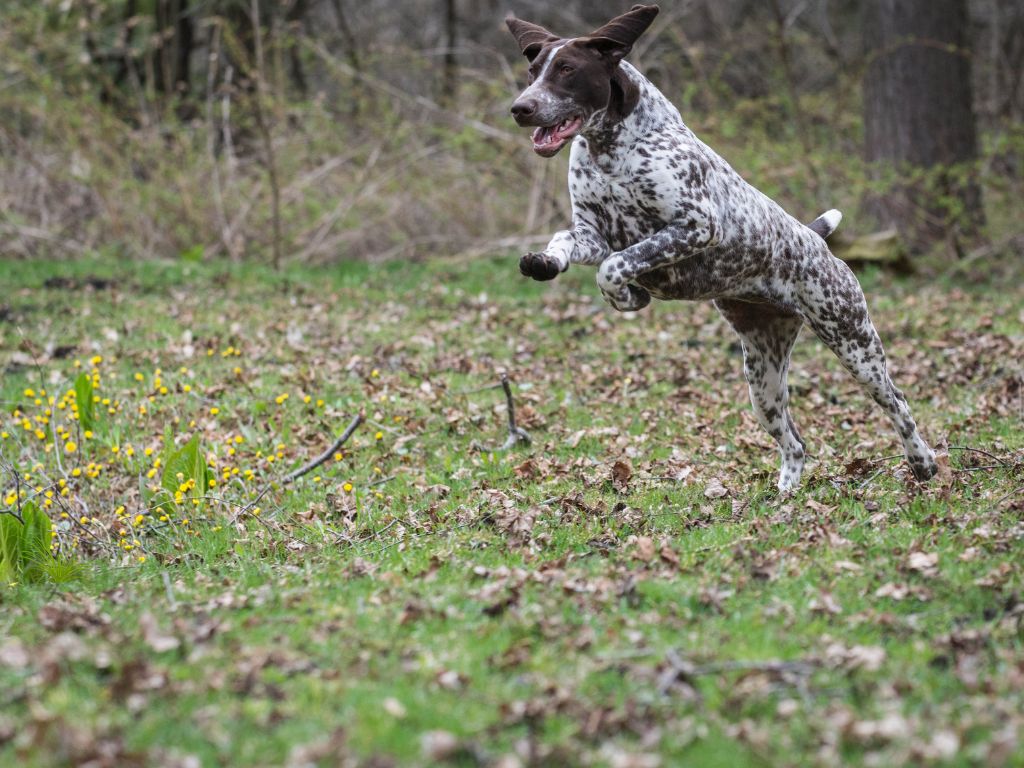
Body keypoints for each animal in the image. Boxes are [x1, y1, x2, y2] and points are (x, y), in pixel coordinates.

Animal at [503, 3, 937, 489]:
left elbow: (615, 267)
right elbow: (568, 242)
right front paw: (545, 262)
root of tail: (815, 239)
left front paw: (631, 296)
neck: (611, 148)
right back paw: (785, 494)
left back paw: (922, 462)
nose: (521, 108)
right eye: (532, 71)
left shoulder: (694, 226)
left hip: (854, 344)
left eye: (567, 69)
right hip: (763, 380)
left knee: (898, 404)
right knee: (795, 443)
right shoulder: (593, 233)